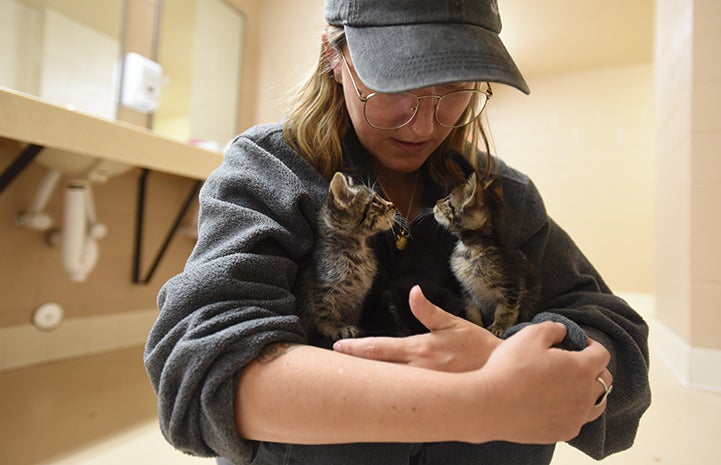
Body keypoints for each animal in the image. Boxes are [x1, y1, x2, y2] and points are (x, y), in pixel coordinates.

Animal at [296, 172, 396, 338]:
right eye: (374, 201)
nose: (393, 205)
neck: (359, 250)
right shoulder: (322, 290)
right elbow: (325, 313)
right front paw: (338, 328)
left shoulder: (356, 300)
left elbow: (353, 314)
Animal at [430, 172, 536, 336]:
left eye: (448, 200)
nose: (436, 202)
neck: (472, 251)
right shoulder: (467, 290)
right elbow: (471, 308)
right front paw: (474, 323)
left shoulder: (512, 286)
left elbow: (506, 310)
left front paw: (499, 327)